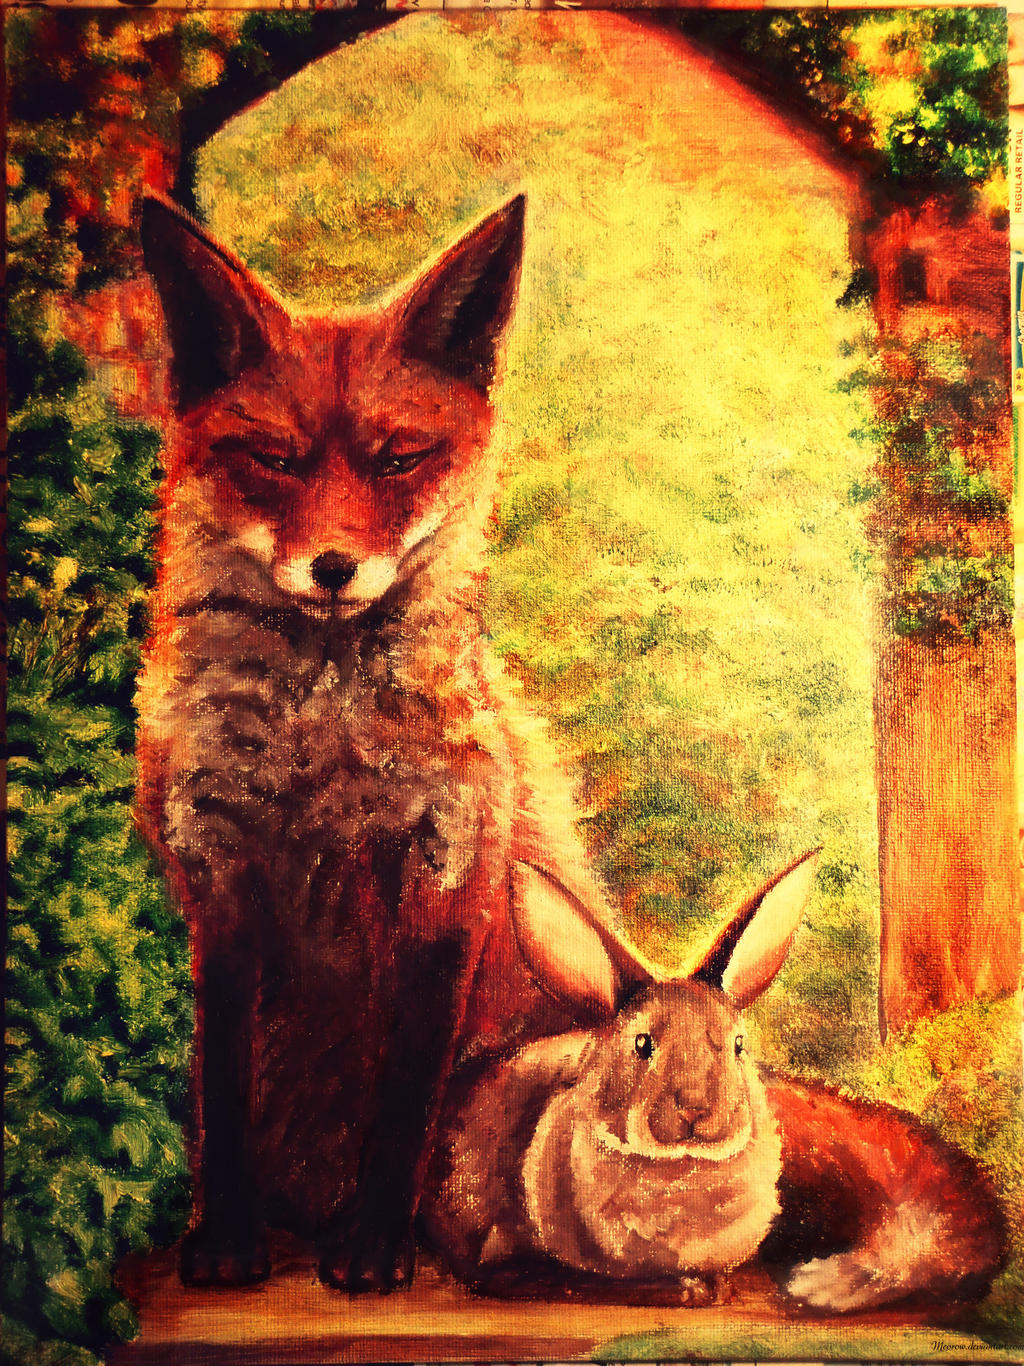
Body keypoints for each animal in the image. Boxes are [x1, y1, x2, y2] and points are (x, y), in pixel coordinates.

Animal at [135, 191, 646, 1292]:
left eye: (398, 459)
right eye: (274, 459)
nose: (334, 568)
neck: (319, 759)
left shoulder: (446, 875)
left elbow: (405, 1092)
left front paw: (372, 1248)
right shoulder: (219, 880)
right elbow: (223, 1082)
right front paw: (227, 1240)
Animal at [424, 851, 1006, 1312]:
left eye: (738, 1045)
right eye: (642, 1044)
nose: (697, 1110)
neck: (680, 1174)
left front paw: (708, 1285)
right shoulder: (499, 1251)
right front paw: (690, 1290)